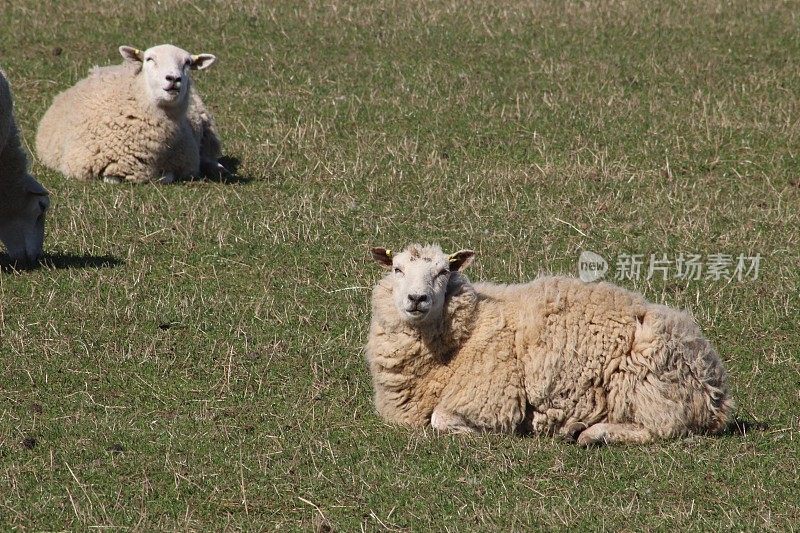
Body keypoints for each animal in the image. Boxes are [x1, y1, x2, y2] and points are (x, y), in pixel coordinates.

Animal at [35, 42, 222, 183]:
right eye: (149, 59)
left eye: (188, 63)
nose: (174, 79)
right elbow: (115, 178)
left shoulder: (187, 166)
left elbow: (167, 176)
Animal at [366, 244, 736, 444]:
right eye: (397, 269)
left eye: (444, 271)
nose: (417, 299)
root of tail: (715, 386)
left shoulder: (491, 398)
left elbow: (440, 419)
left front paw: (478, 433)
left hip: (646, 385)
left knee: (661, 428)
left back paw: (592, 434)